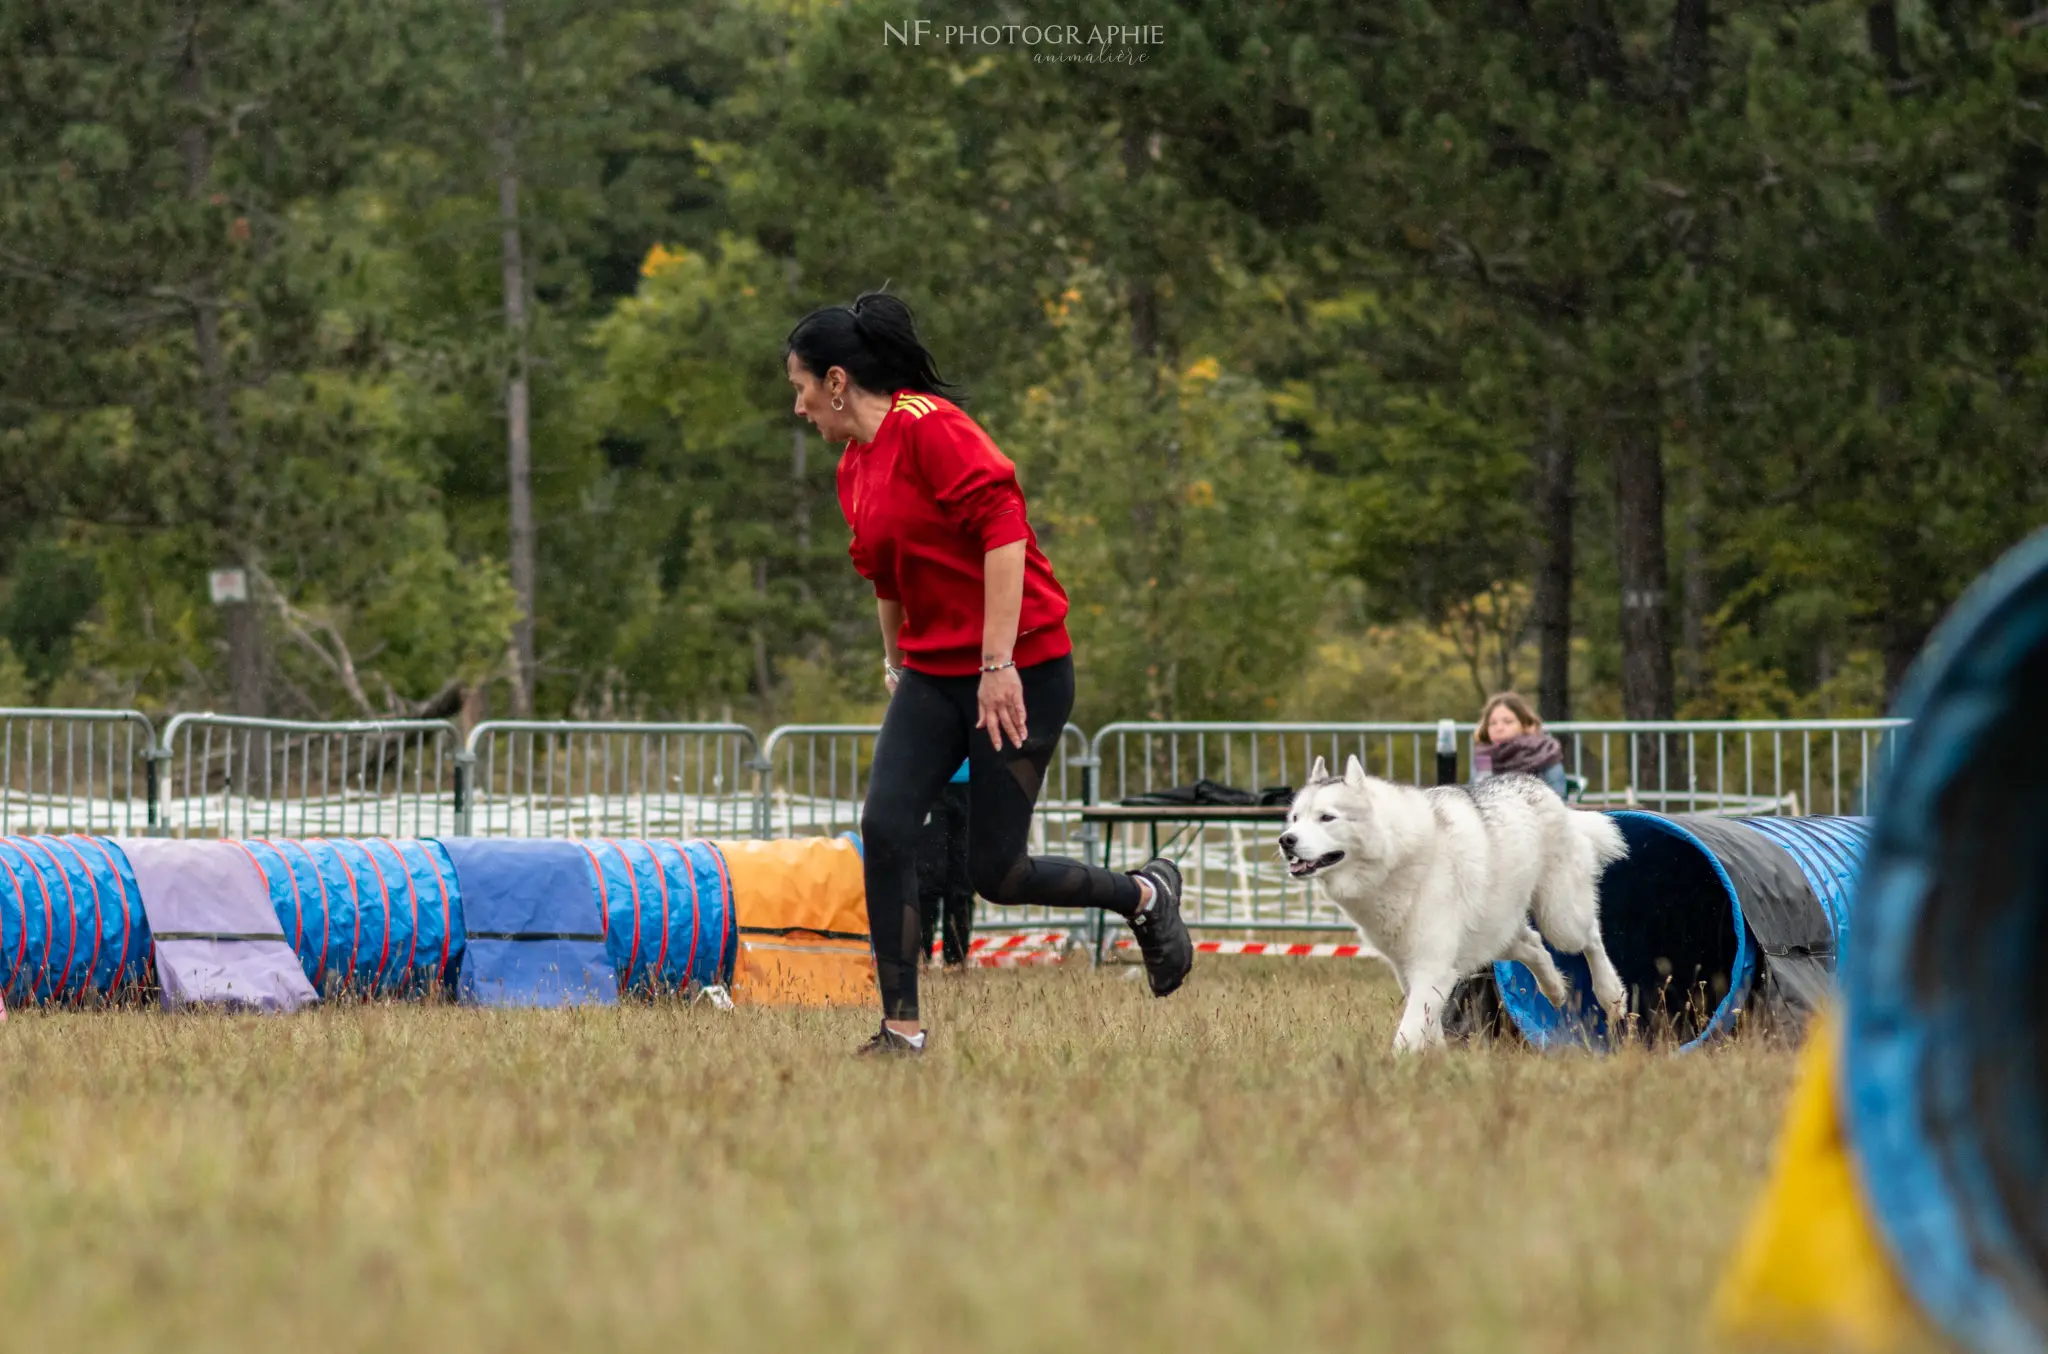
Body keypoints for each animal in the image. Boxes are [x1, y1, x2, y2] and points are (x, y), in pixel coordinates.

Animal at [1277, 753, 1630, 1048]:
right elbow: (1428, 1029)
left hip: (1560, 921)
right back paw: (1555, 990)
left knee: (1591, 938)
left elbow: (1407, 1035)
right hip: (1496, 937)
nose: (1285, 840)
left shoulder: (1431, 968)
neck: (1395, 858)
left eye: (1327, 817)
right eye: (1295, 818)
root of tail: (1544, 789)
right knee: (1534, 945)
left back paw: (1611, 997)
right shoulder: (1410, 971)